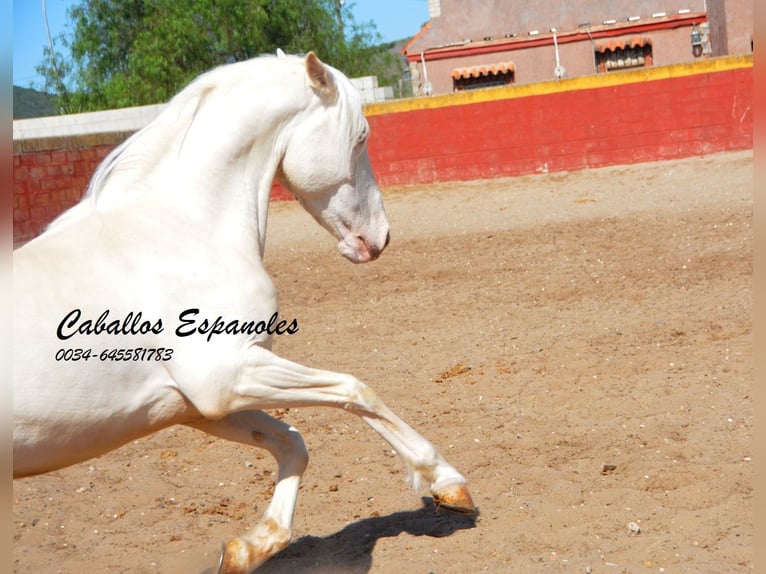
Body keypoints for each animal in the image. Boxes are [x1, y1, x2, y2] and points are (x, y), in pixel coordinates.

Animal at [13, 50, 474, 574]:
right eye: (361, 137)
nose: (380, 238)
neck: (183, 230)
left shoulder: (194, 406)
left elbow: (293, 442)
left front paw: (248, 548)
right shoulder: (226, 376)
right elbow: (356, 390)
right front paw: (446, 482)